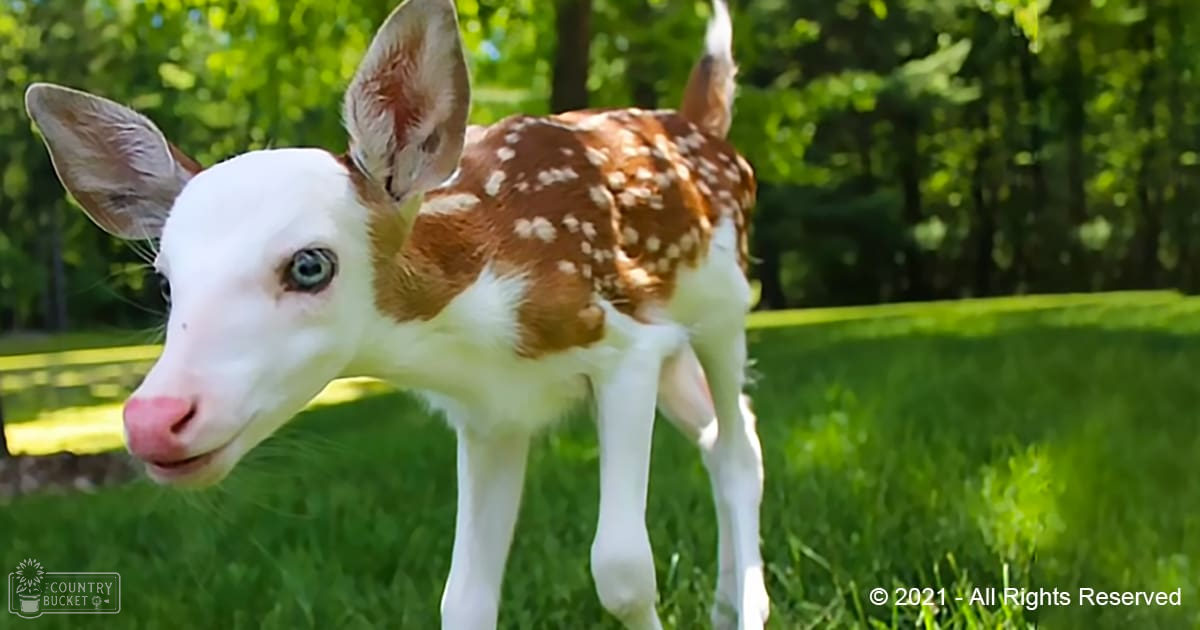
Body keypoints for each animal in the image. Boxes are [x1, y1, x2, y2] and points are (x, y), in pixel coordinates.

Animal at [24, 0, 768, 627]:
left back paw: (748, 610)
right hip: (677, 344)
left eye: (310, 265)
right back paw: (726, 604)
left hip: (726, 304)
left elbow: (621, 570)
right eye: (166, 283)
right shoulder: (494, 413)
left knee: (739, 449)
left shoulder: (625, 346)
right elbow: (463, 599)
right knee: (715, 436)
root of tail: (702, 125)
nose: (154, 419)